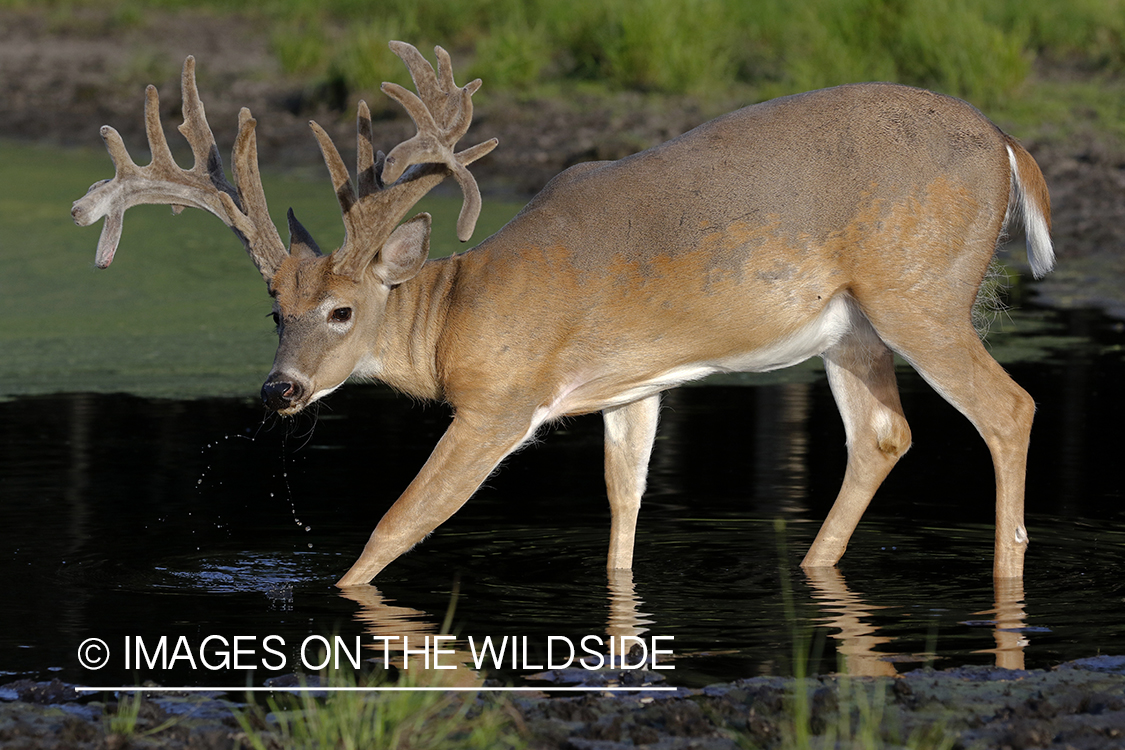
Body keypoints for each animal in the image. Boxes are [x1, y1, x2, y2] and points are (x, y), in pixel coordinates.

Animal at [74, 44, 1048, 589]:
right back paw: (812, 567)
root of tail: (1008, 143)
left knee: (1008, 408)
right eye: (272, 307)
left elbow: (402, 521)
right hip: (849, 326)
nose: (278, 392)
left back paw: (1007, 576)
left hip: (918, 291)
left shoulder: (499, 402)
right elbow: (622, 508)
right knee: (883, 432)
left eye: (342, 310)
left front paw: (344, 597)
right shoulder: (628, 387)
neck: (453, 312)